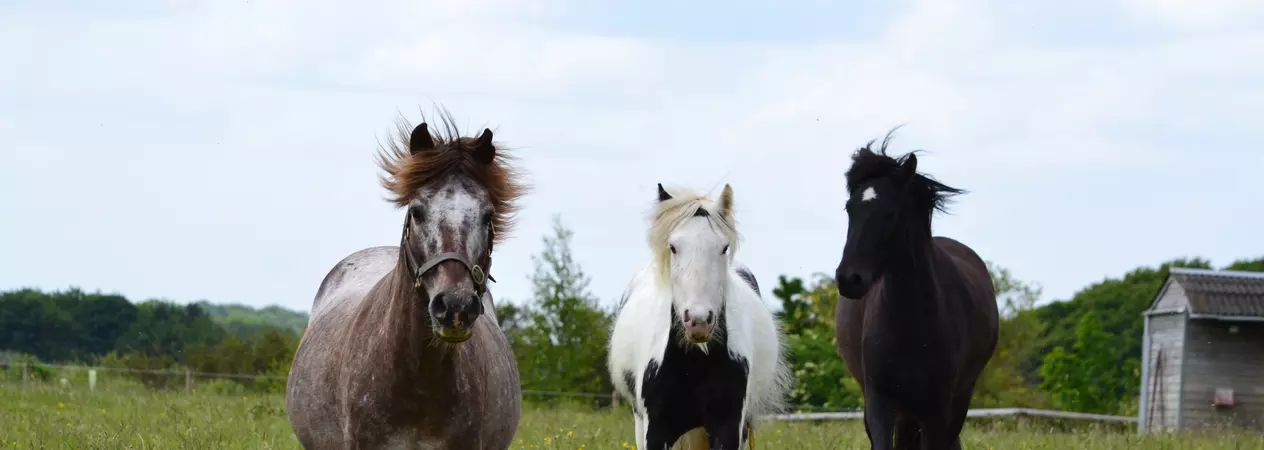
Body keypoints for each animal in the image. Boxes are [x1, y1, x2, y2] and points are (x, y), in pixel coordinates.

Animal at [832, 135, 999, 450]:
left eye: (890, 212)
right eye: (849, 208)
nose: (849, 279)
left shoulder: (938, 408)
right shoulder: (880, 403)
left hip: (956, 401)